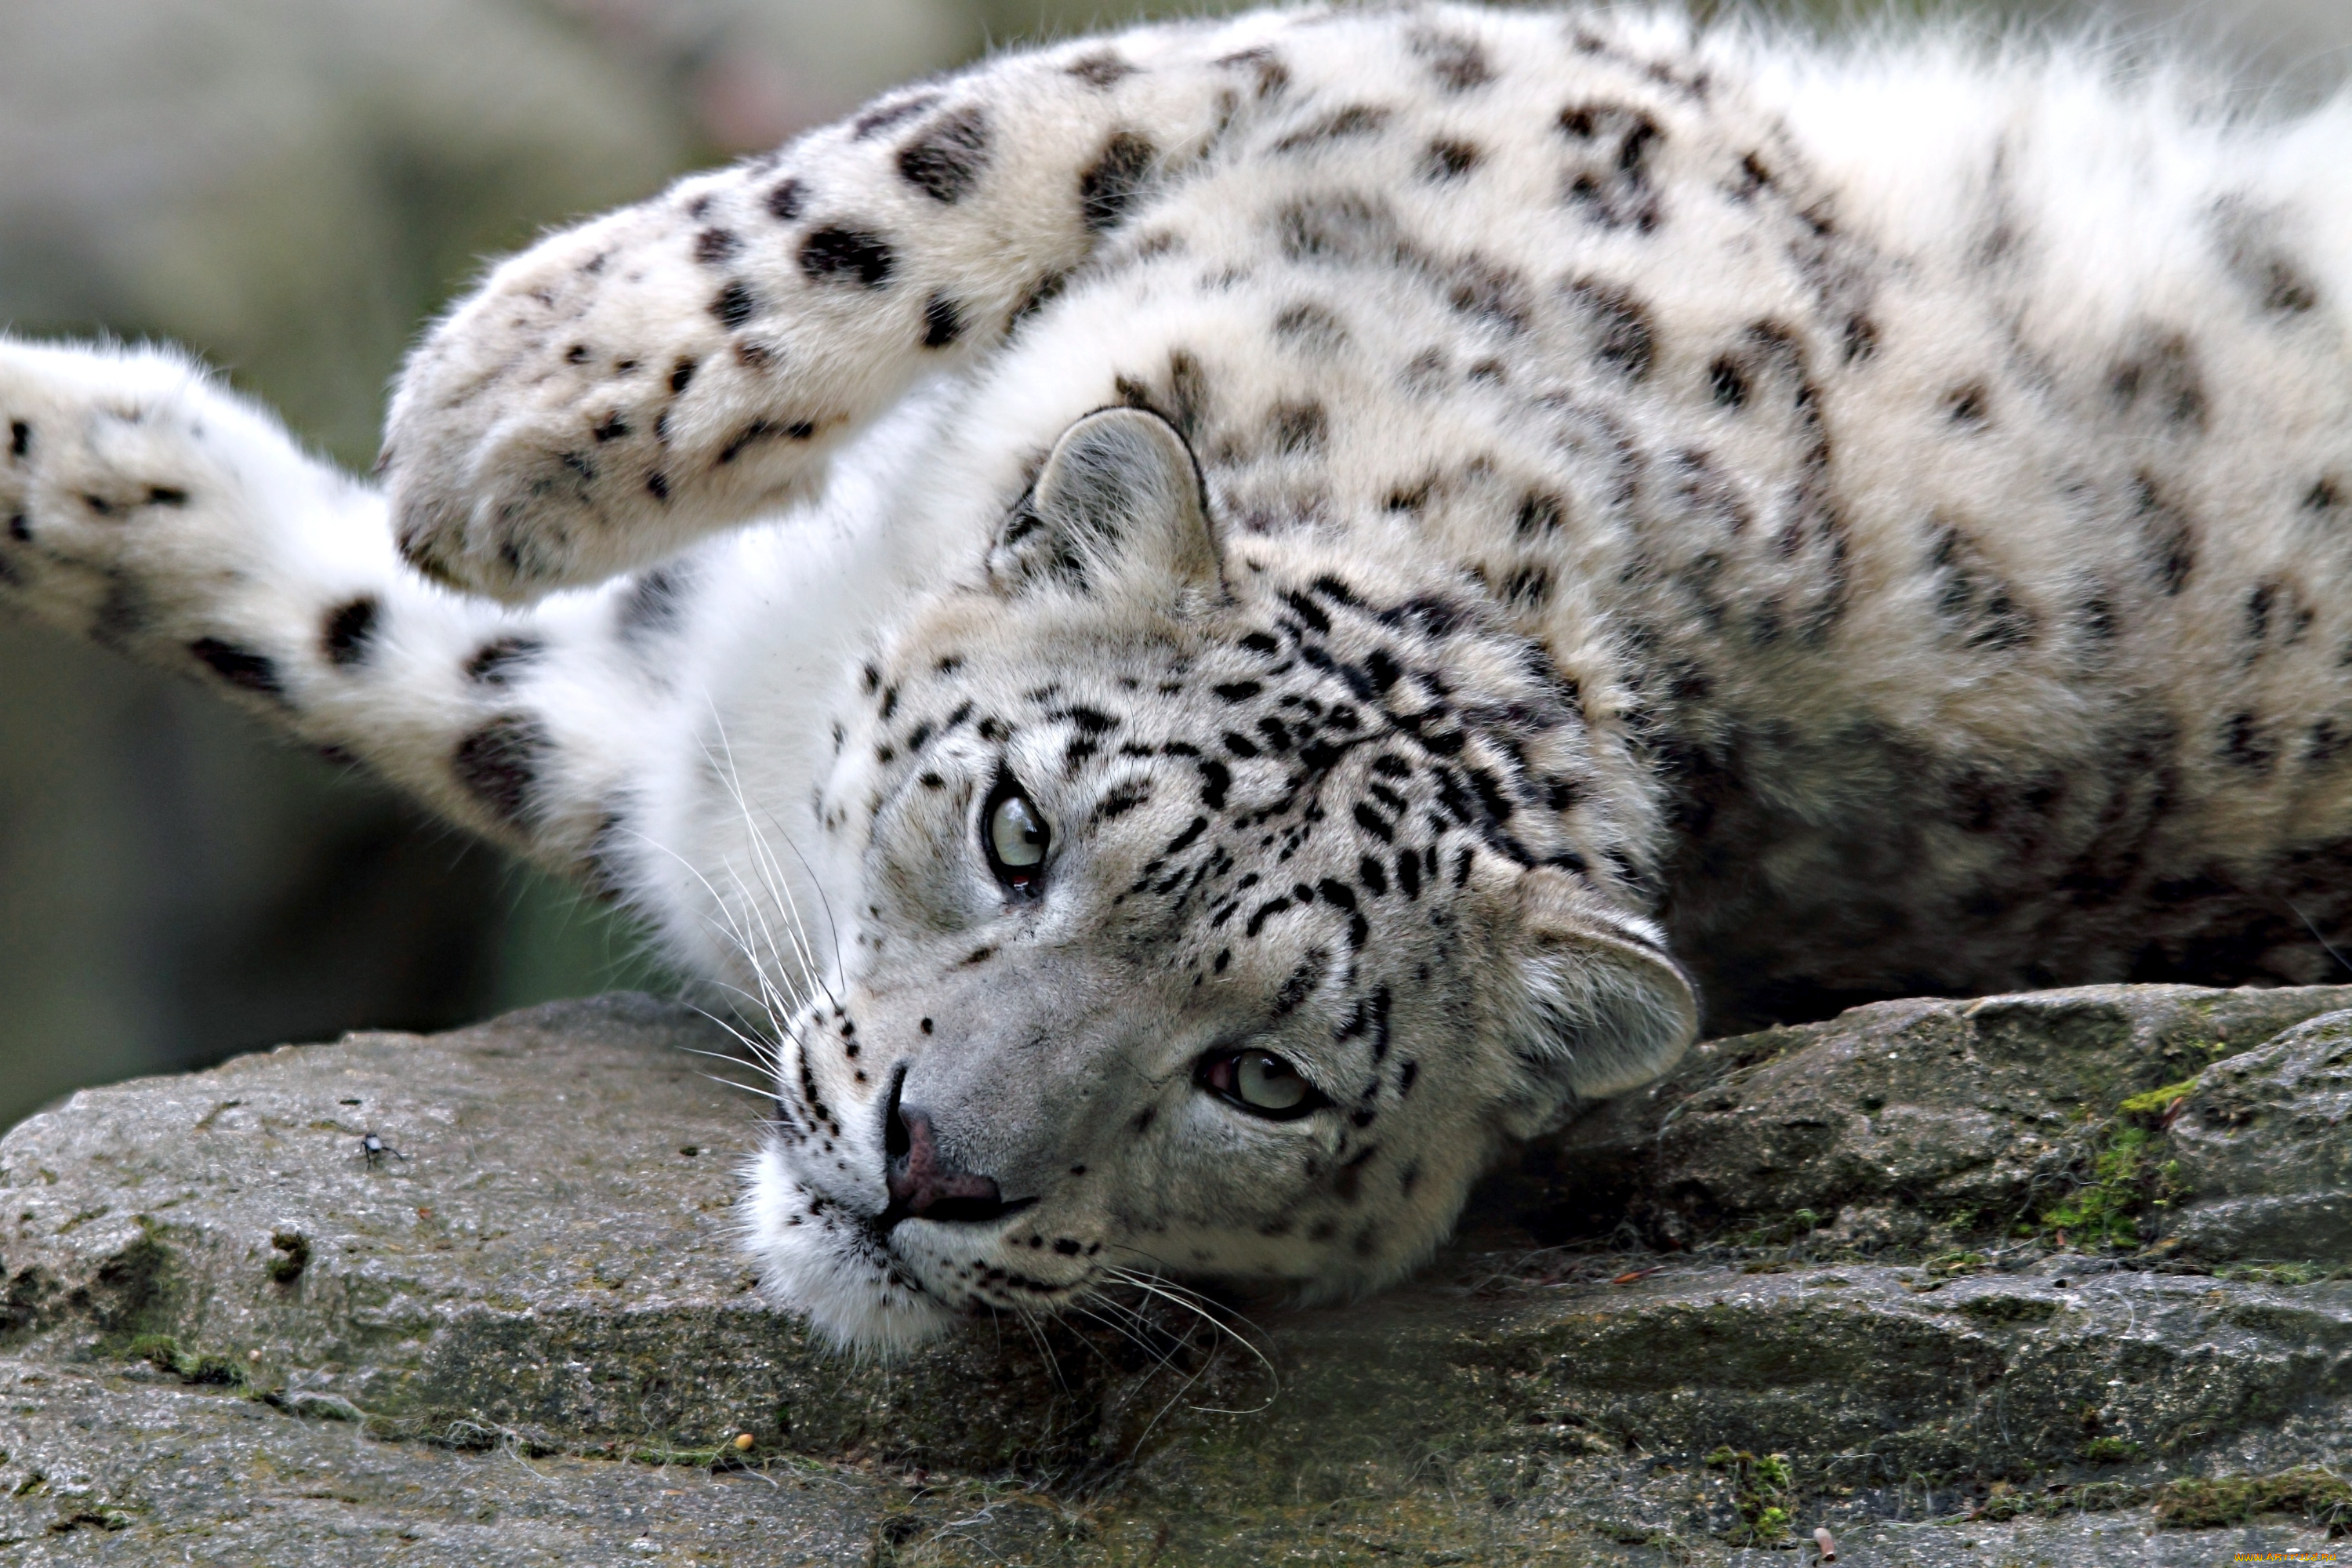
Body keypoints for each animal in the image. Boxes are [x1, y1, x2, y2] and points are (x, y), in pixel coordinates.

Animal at [4, 2, 2352, 1354]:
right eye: (1015, 824)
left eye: (1266, 1080)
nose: (929, 1168)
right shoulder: (1508, 66)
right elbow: (972, 138)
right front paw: (493, 405)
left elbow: (454, 685)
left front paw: (482, 418)